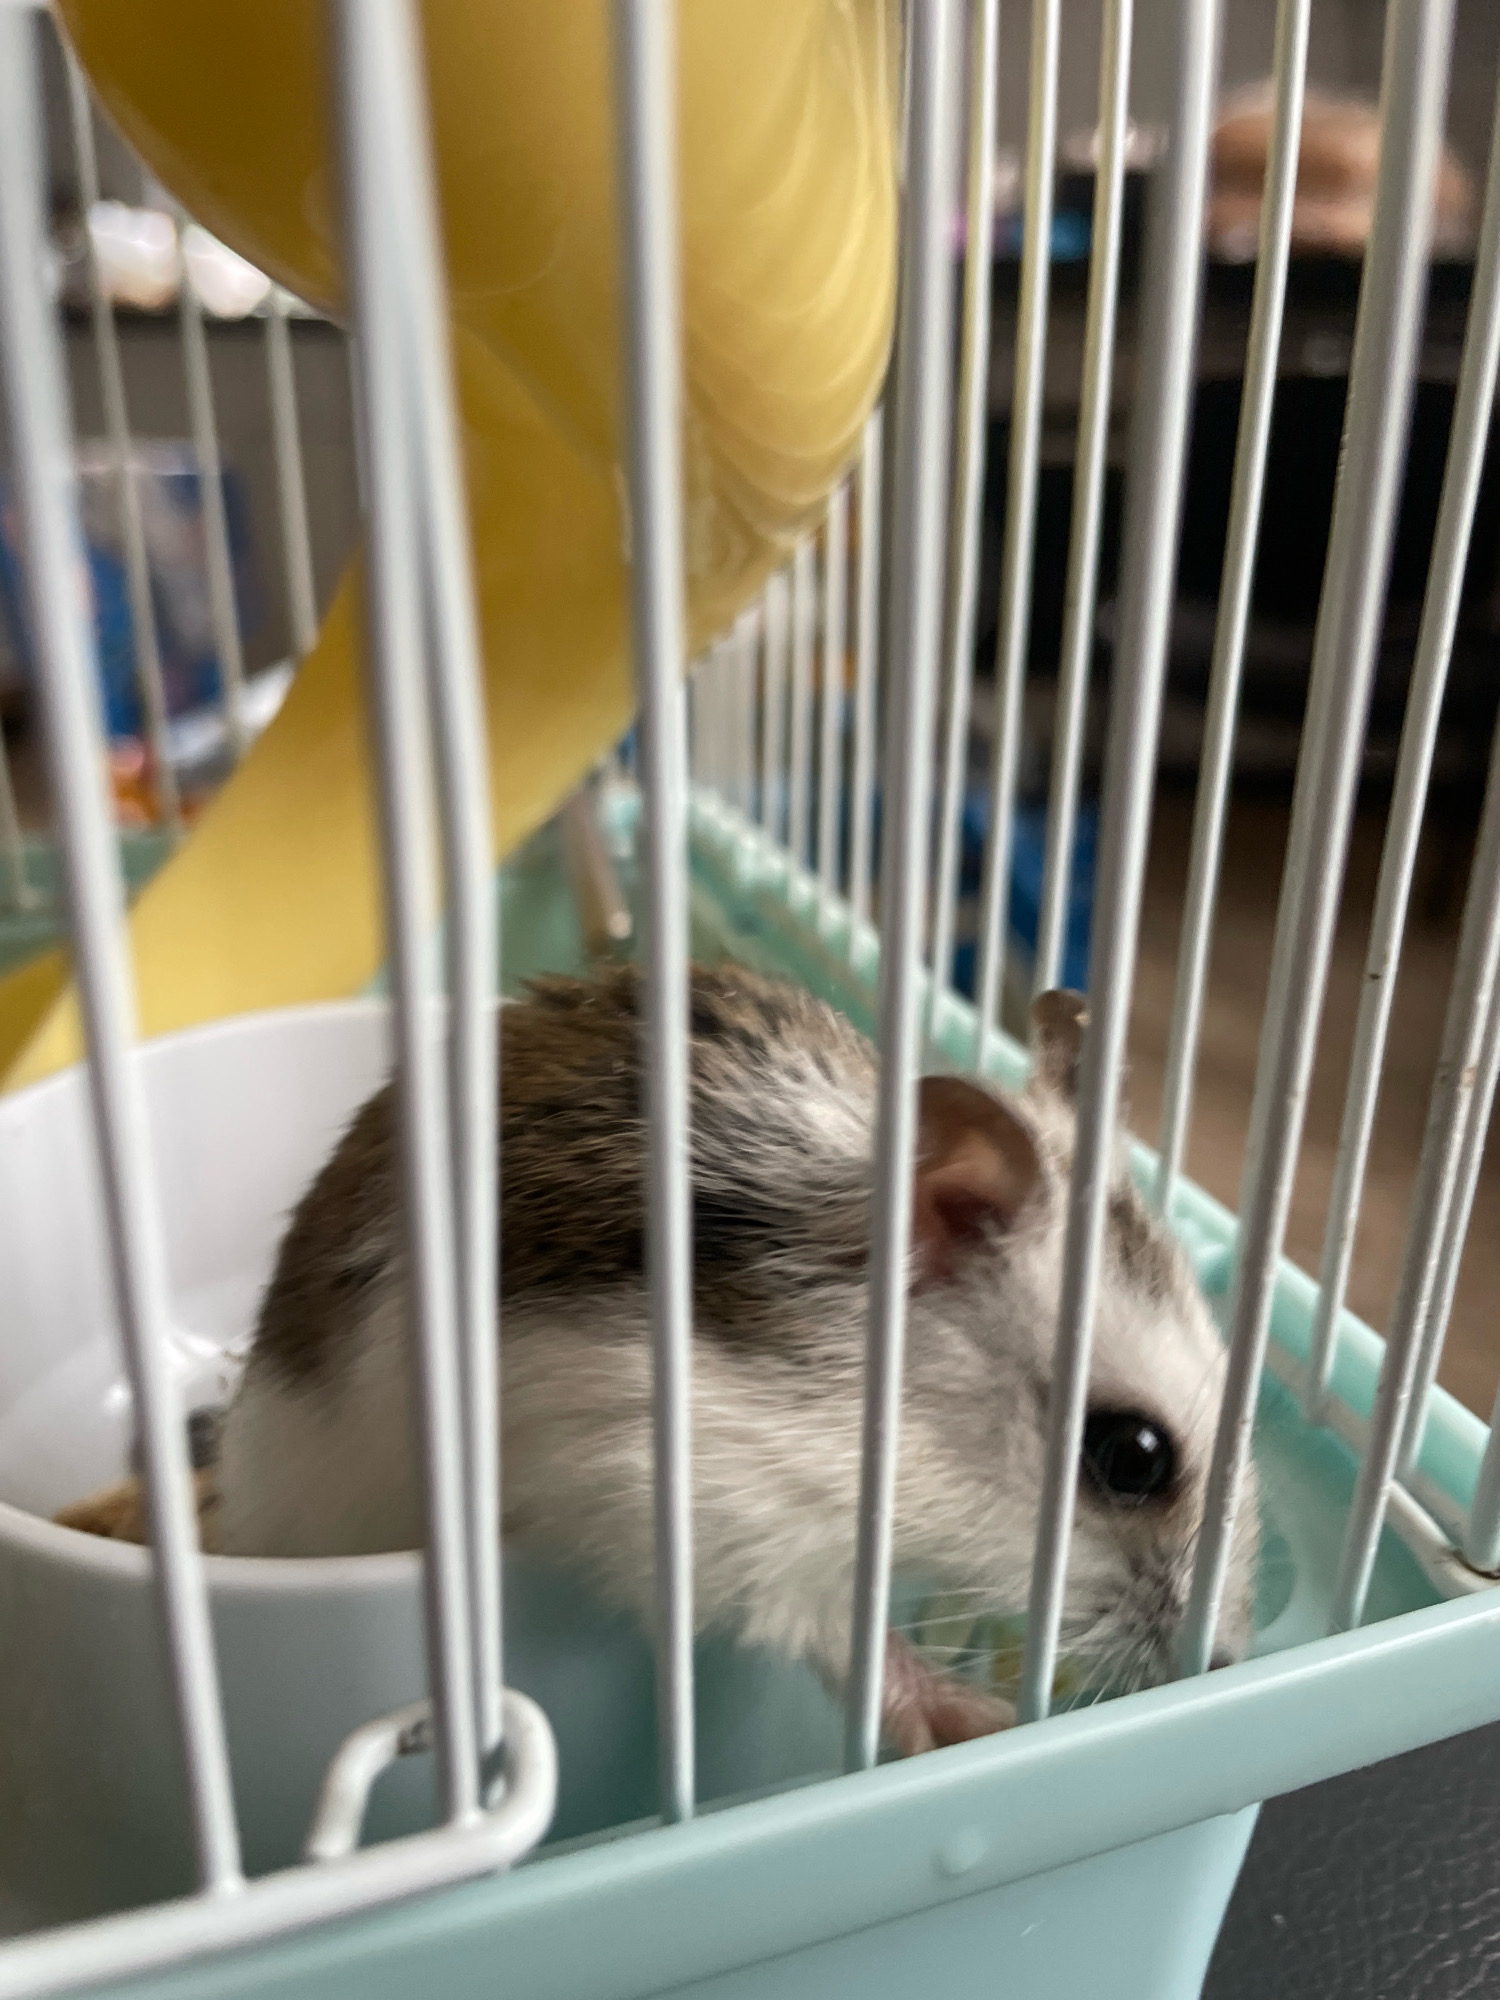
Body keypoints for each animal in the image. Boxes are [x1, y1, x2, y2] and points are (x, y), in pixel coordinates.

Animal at [69, 966, 1259, 1756]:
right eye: (1134, 1454)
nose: (1231, 1660)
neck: (899, 1421)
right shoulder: (720, 1505)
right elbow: (846, 1634)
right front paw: (978, 1715)